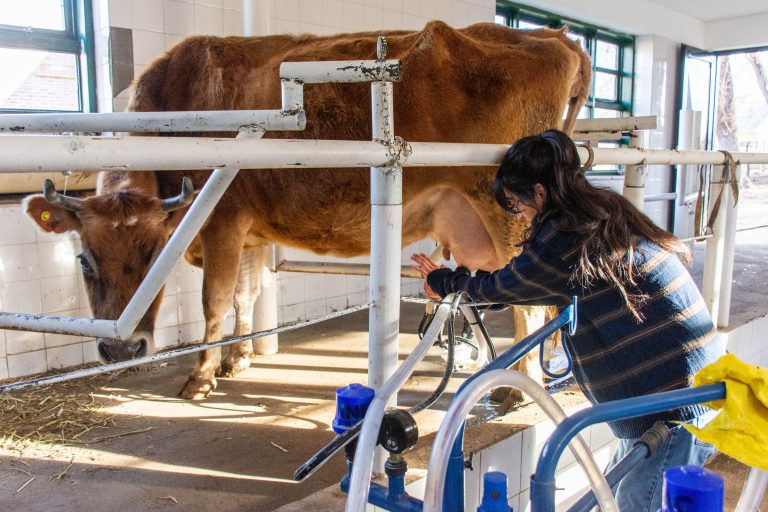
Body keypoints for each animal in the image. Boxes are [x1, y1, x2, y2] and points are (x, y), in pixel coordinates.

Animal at [22, 22, 588, 398]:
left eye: (154, 253)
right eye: (83, 259)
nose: (121, 351)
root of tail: (557, 35)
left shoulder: (221, 221)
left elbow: (214, 302)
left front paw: (200, 376)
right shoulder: (250, 233)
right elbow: (245, 296)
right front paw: (238, 359)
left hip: (507, 213)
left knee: (531, 299)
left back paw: (517, 389)